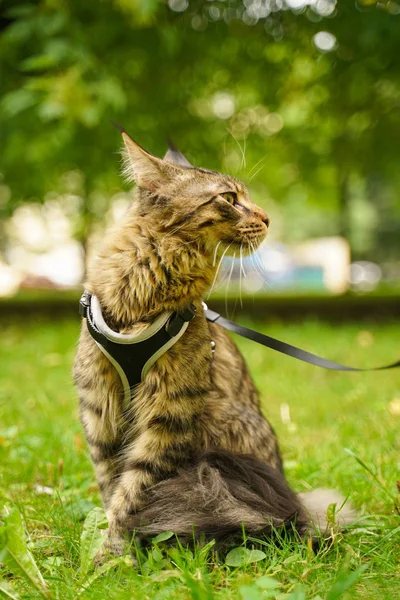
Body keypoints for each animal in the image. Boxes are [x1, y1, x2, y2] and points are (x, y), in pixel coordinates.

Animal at [72, 134, 354, 556]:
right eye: (229, 198)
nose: (267, 218)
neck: (145, 289)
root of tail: (298, 507)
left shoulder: (169, 415)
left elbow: (131, 493)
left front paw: (112, 555)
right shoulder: (99, 408)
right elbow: (111, 486)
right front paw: (108, 552)